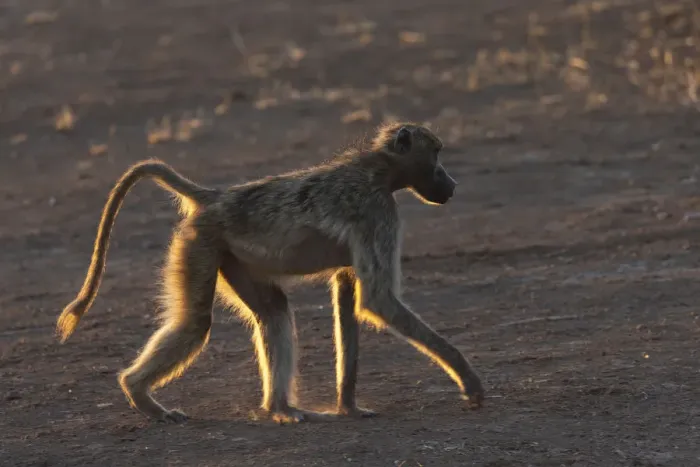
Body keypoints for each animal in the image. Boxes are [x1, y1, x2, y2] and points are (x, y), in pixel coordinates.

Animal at [56, 122, 485, 424]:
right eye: (437, 154)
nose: (452, 183)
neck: (377, 170)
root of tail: (213, 197)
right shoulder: (378, 212)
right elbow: (377, 299)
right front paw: (469, 380)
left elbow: (349, 296)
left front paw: (348, 406)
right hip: (199, 244)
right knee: (195, 324)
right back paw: (141, 396)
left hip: (230, 257)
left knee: (274, 312)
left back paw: (281, 408)